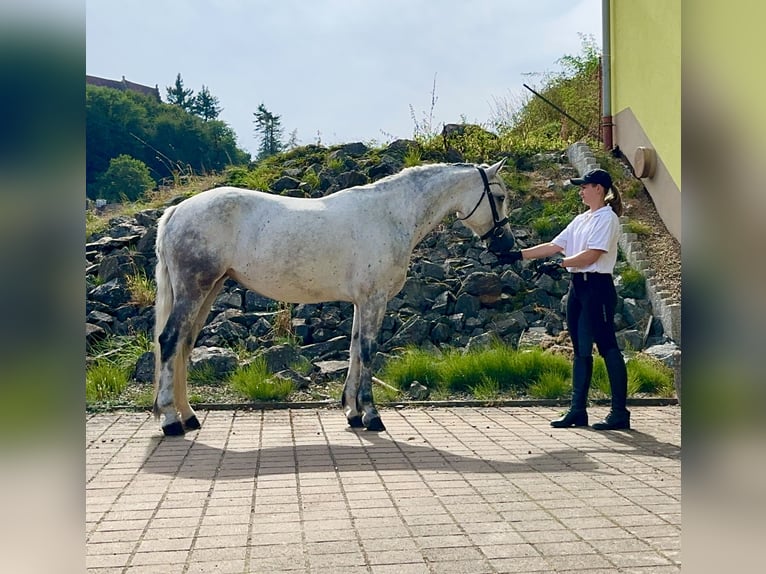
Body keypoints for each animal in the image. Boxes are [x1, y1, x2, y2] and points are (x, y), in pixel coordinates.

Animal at [154, 158, 516, 436]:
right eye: (498, 196)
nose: (506, 245)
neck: (390, 214)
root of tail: (176, 211)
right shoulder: (374, 300)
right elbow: (368, 352)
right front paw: (372, 416)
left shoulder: (362, 302)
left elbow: (355, 350)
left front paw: (353, 414)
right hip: (193, 290)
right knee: (170, 340)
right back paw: (171, 421)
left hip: (209, 289)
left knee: (184, 345)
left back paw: (189, 416)